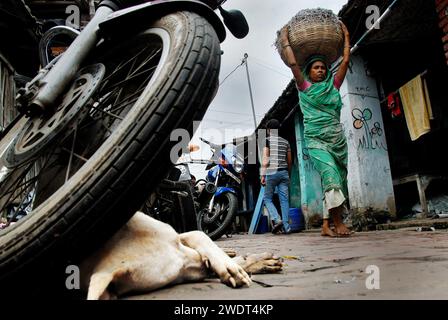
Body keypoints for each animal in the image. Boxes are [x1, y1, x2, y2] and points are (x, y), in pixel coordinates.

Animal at [80, 211, 282, 298]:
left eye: (176, 244)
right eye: (176, 275)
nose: (207, 266)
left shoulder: (177, 236)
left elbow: (199, 234)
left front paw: (229, 264)